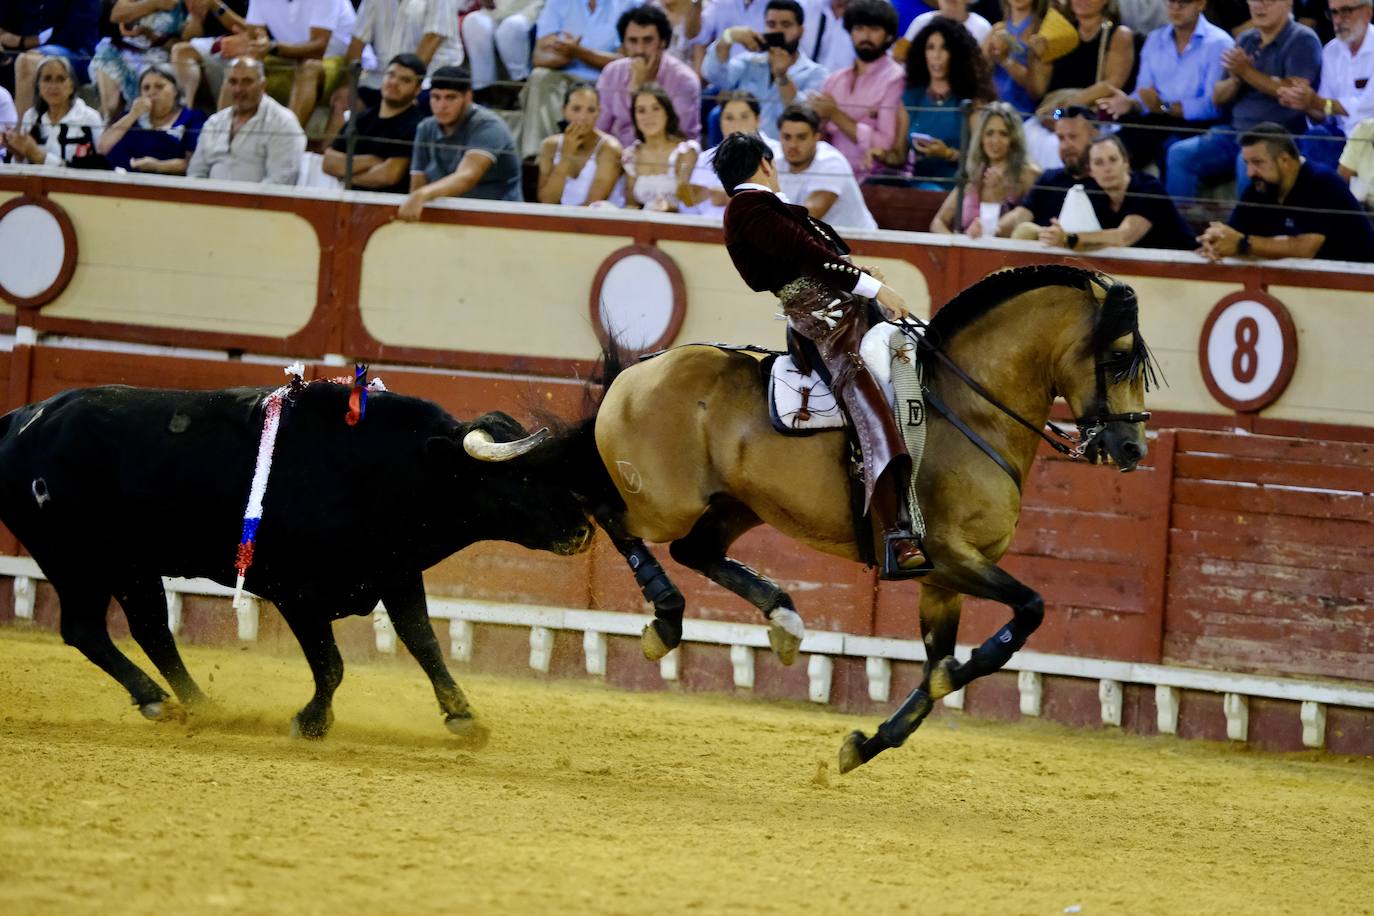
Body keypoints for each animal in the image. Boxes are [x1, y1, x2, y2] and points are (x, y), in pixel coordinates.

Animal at [0, 384, 596, 741]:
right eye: (521, 476)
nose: (585, 530)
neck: (393, 467)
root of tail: (21, 418)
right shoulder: (297, 594)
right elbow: (331, 664)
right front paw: (310, 722)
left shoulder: (397, 573)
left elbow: (423, 641)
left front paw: (463, 716)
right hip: (76, 561)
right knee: (88, 629)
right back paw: (161, 702)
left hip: (130, 566)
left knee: (149, 630)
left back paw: (200, 706)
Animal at [585, 265, 1154, 774]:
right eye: (1118, 357)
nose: (1132, 448)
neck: (971, 411)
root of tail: (640, 369)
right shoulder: (948, 554)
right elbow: (1029, 609)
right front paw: (944, 681)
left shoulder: (941, 580)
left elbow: (939, 658)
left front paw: (869, 743)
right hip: (661, 499)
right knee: (608, 515)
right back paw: (667, 614)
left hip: (737, 505)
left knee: (695, 550)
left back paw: (783, 620)